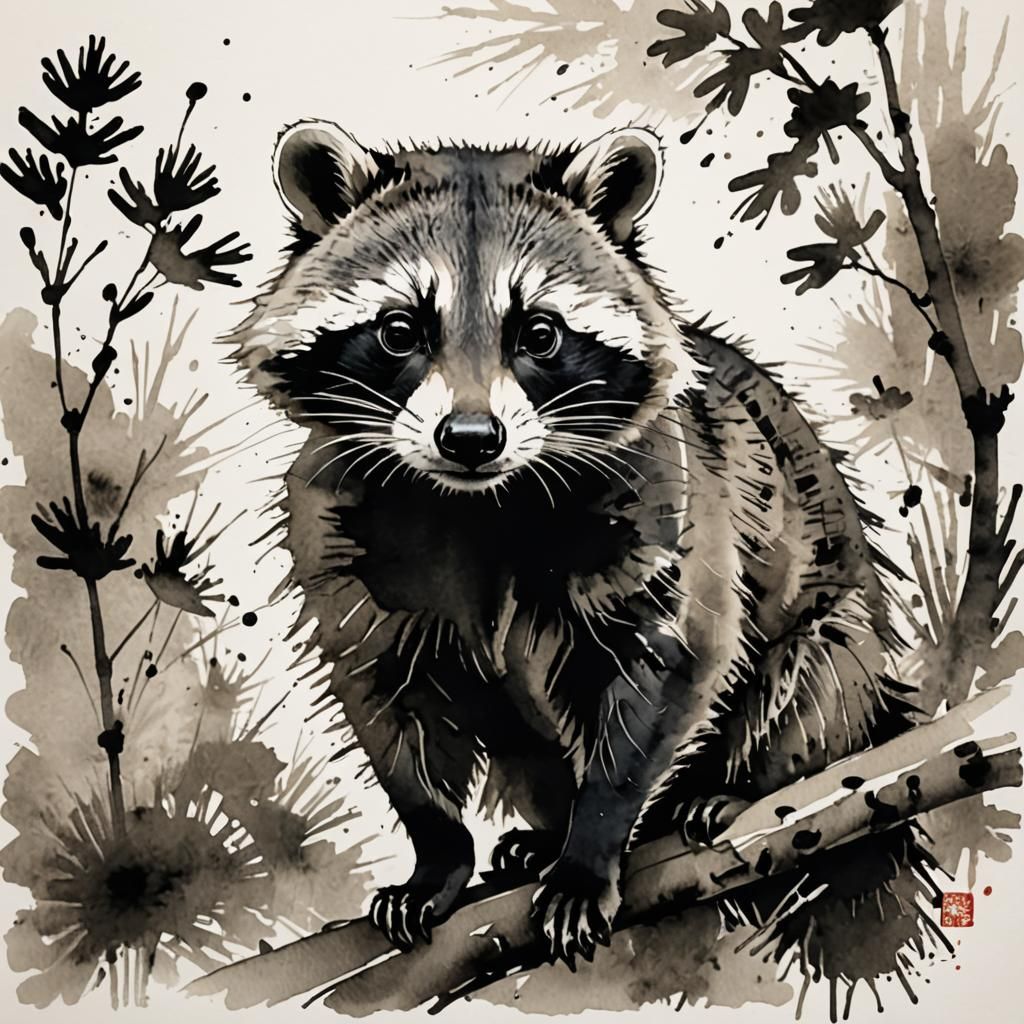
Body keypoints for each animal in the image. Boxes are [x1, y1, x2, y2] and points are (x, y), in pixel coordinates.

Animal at [228, 122, 913, 967]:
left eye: (540, 333)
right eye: (399, 331)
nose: (471, 438)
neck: (475, 502)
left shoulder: (667, 497)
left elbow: (670, 661)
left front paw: (592, 848)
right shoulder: (340, 532)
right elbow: (388, 699)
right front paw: (438, 854)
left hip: (838, 635)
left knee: (808, 677)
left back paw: (733, 785)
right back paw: (540, 836)